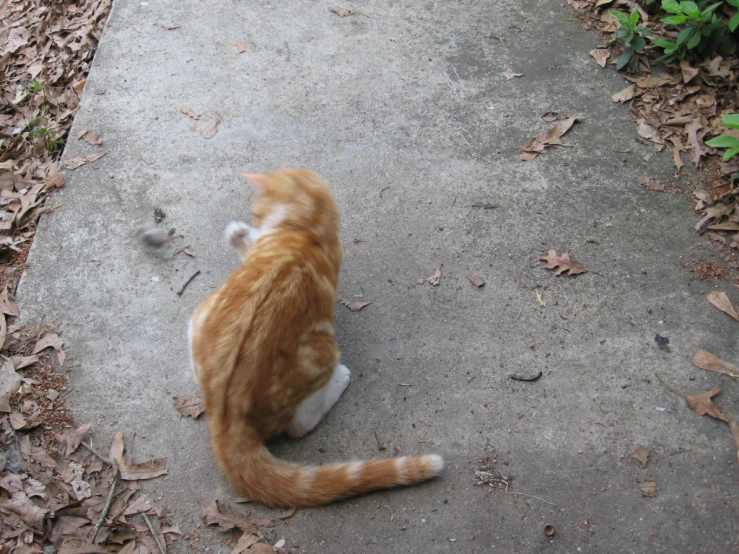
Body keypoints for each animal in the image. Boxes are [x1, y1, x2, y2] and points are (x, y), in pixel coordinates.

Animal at [189, 167, 446, 504]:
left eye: (256, 212)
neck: (304, 233)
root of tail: (226, 422)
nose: (254, 219)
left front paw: (239, 233)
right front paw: (239, 233)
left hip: (215, 322)